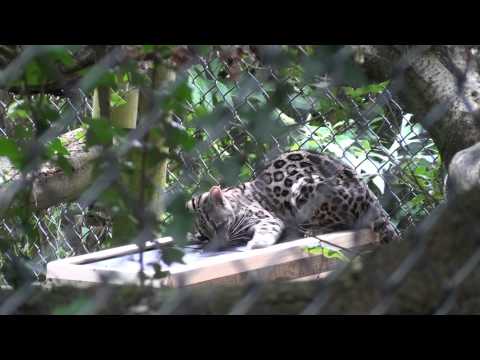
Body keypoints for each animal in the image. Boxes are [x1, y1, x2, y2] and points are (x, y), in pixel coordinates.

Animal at [188, 150, 402, 249]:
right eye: (207, 235)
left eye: (219, 225)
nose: (220, 244)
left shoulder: (266, 216)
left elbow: (267, 227)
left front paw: (256, 243)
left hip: (305, 185)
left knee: (342, 223)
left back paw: (312, 230)